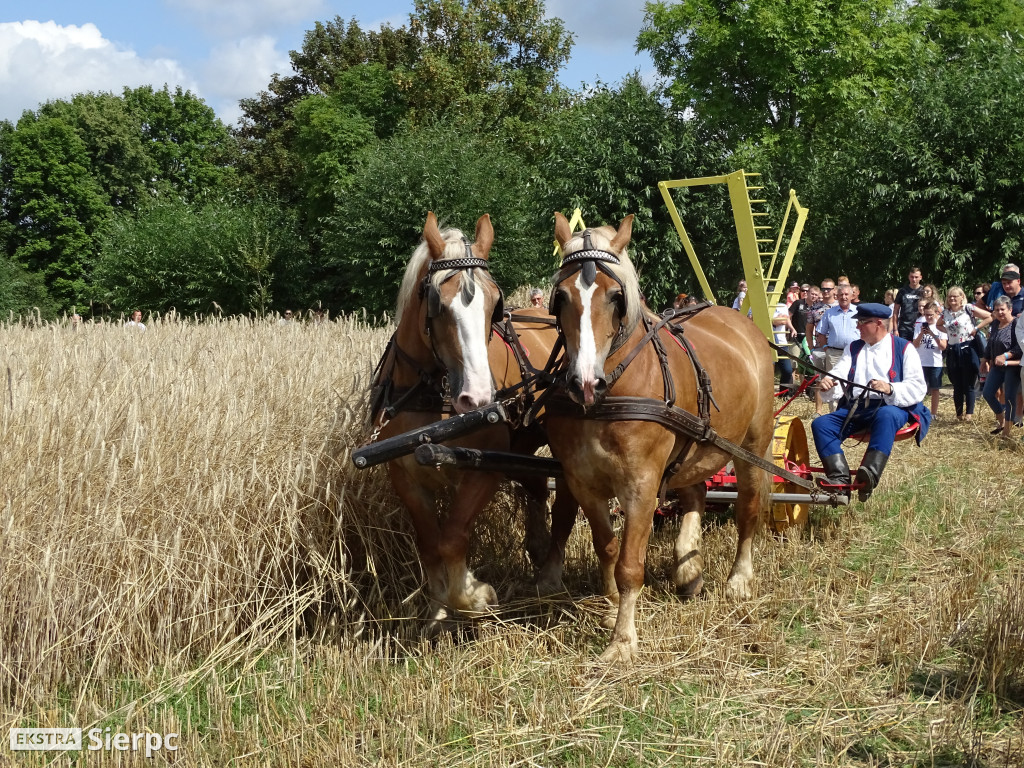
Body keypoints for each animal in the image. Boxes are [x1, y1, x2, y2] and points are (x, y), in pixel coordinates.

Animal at [368, 214, 565, 634]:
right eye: (437, 304)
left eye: (494, 304)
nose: (476, 398)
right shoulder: (404, 474)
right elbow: (429, 544)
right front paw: (438, 610)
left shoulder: (482, 468)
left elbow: (453, 537)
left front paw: (473, 597)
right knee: (538, 486)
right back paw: (539, 549)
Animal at [544, 214, 774, 663]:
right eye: (560, 296)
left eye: (616, 296)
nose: (584, 383)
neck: (606, 397)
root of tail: (739, 321)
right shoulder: (583, 483)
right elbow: (607, 548)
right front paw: (611, 607)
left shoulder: (641, 485)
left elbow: (630, 564)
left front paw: (623, 641)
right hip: (695, 446)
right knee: (696, 493)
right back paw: (688, 568)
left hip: (752, 447)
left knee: (748, 510)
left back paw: (739, 579)